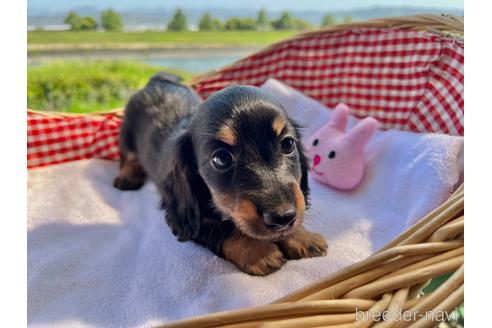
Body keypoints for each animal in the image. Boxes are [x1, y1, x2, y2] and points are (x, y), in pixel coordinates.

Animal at [115, 73, 326, 276]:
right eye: (221, 158)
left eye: (288, 144)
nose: (282, 217)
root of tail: (156, 80)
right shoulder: (192, 220)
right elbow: (223, 229)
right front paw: (258, 253)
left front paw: (301, 237)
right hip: (126, 135)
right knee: (128, 157)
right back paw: (127, 177)